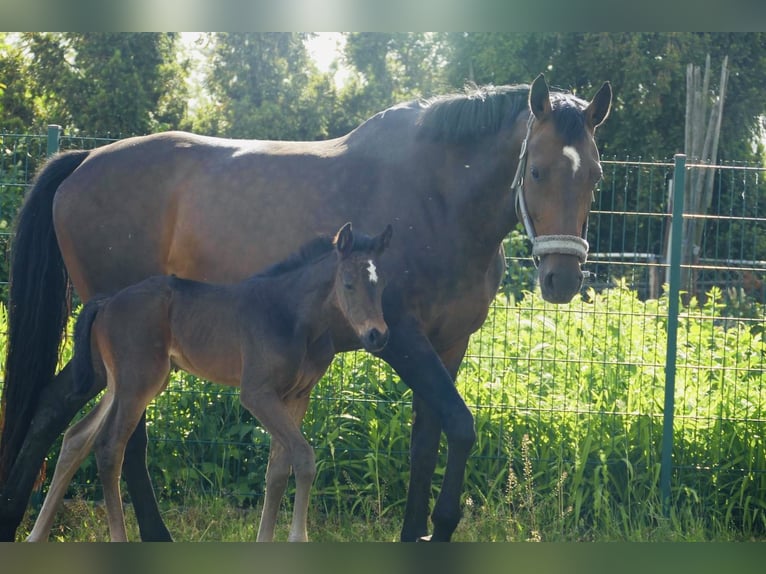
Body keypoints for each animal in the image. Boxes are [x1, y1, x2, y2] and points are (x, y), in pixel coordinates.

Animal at [25, 222, 392, 542]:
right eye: (348, 283)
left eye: (381, 285)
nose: (378, 335)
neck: (292, 317)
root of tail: (106, 302)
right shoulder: (257, 393)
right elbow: (303, 458)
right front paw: (297, 539)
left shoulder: (297, 396)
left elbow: (277, 469)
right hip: (137, 383)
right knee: (108, 446)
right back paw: (116, 538)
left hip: (123, 383)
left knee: (76, 437)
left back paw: (36, 536)